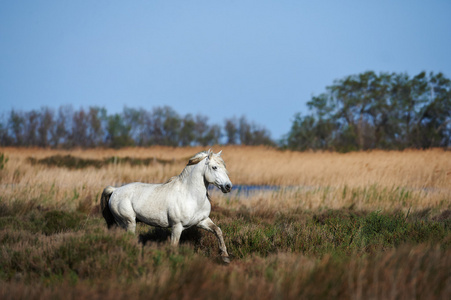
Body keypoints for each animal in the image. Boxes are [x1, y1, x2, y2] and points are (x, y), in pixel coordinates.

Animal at [101, 150, 235, 262]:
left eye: (225, 167)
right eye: (214, 167)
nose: (228, 186)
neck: (190, 195)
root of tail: (115, 190)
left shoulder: (202, 221)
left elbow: (218, 231)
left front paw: (225, 256)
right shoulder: (177, 226)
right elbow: (174, 245)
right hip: (128, 222)